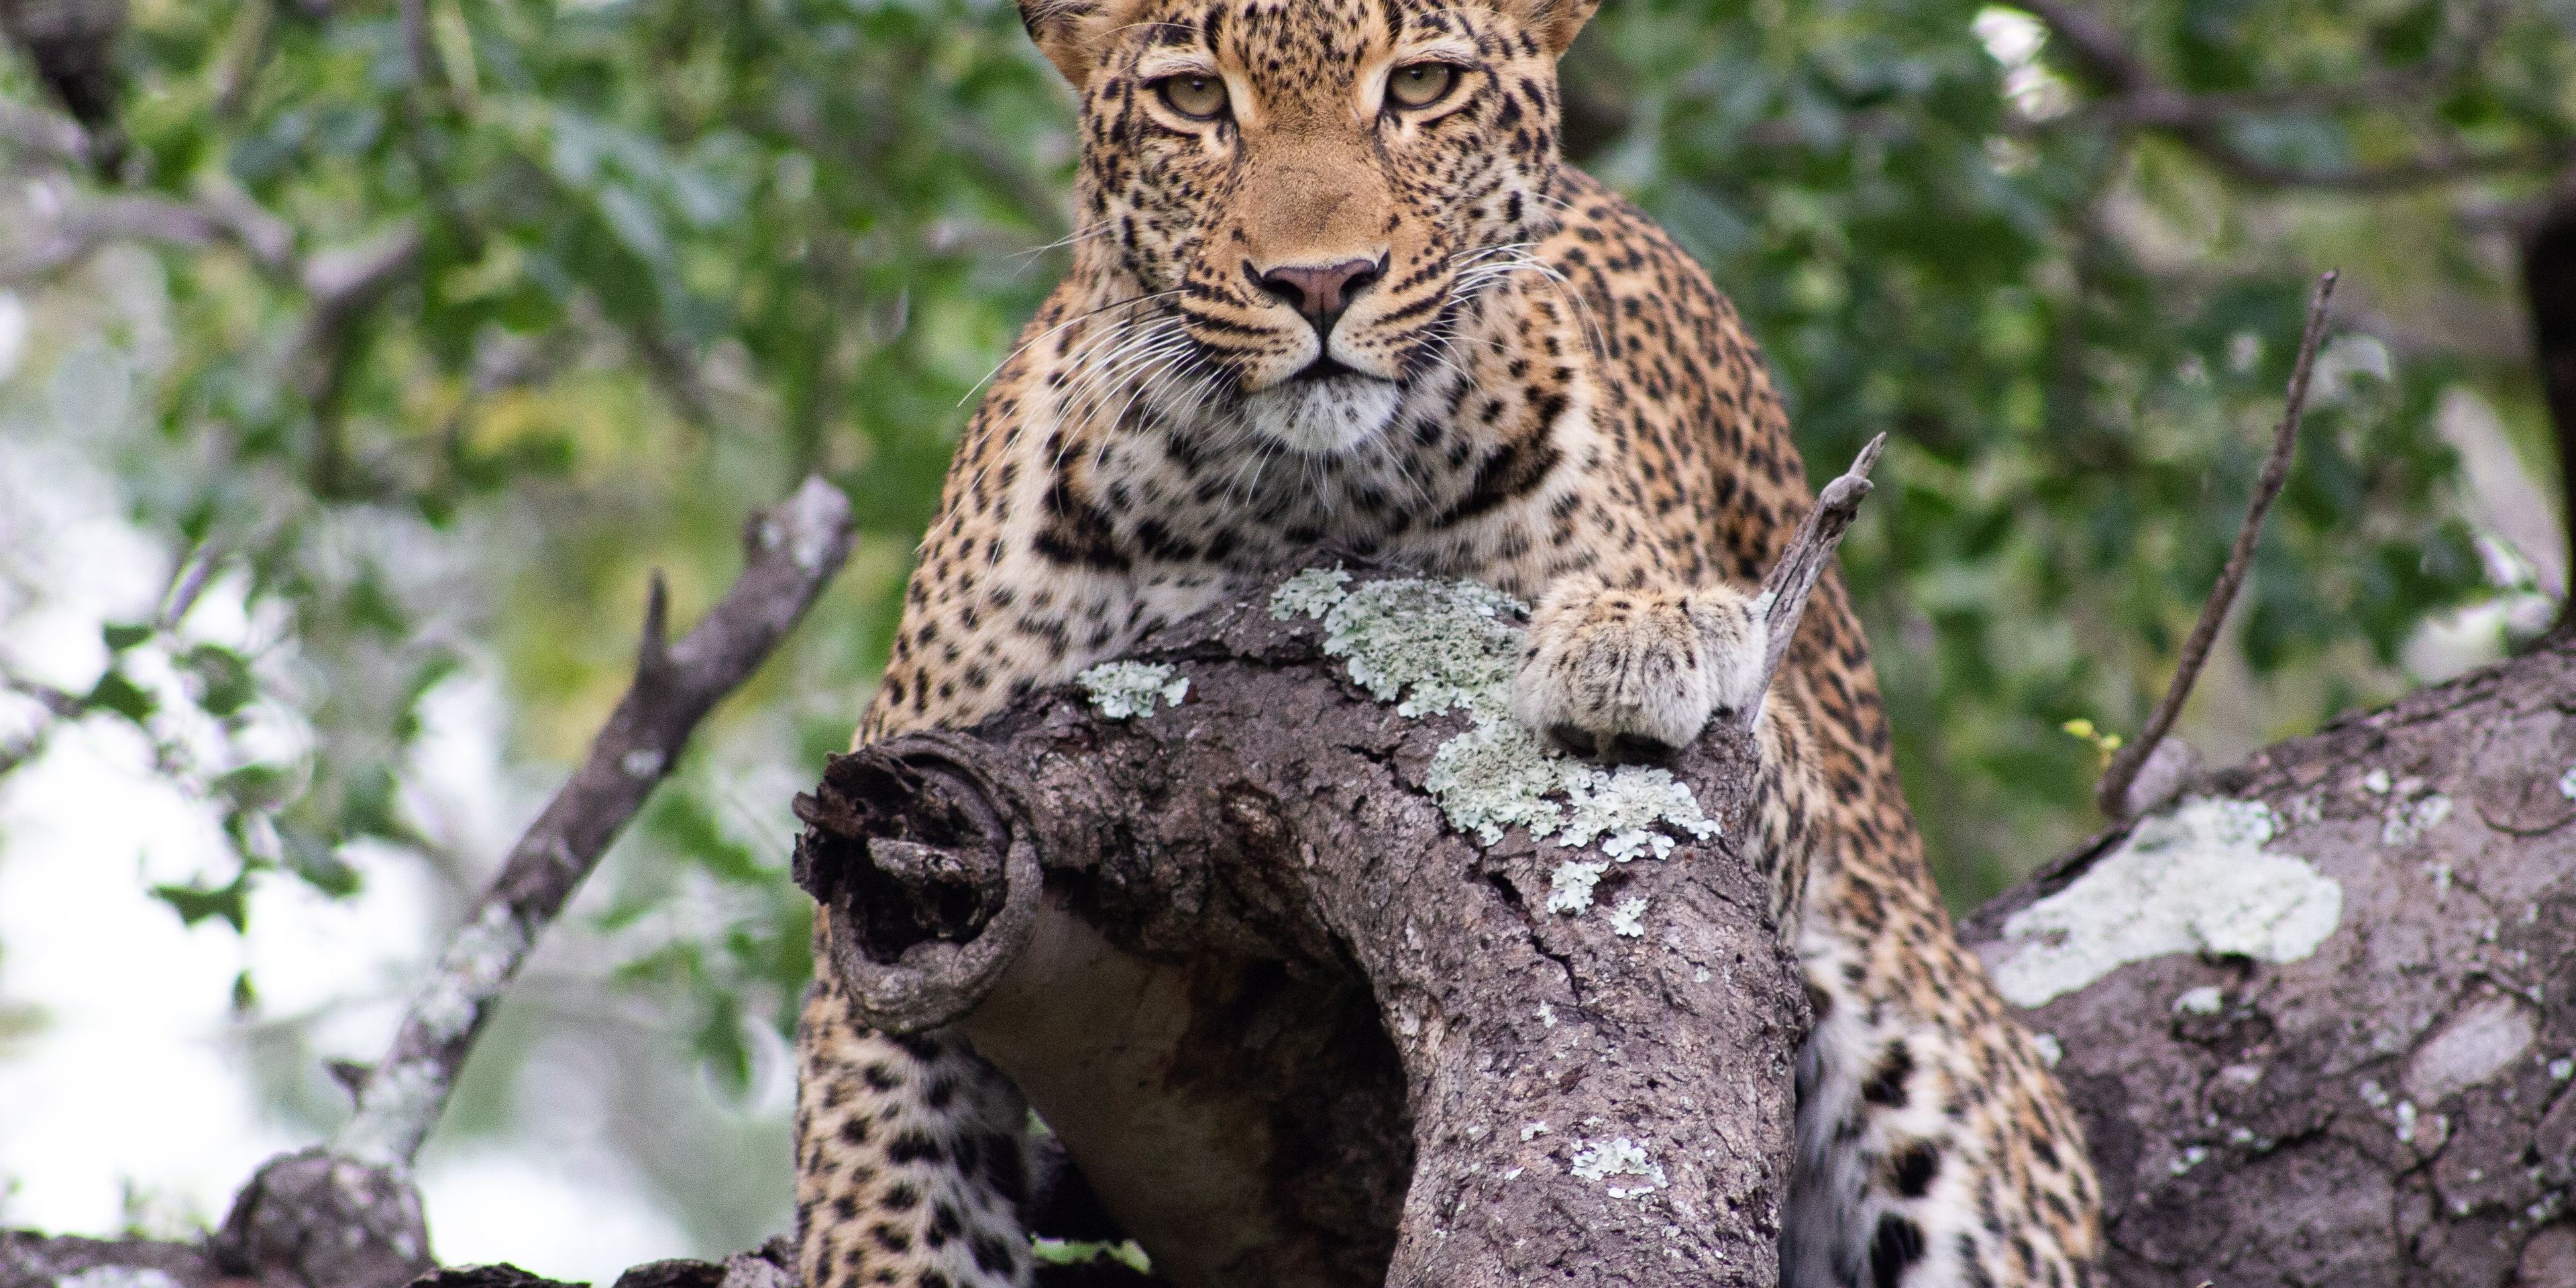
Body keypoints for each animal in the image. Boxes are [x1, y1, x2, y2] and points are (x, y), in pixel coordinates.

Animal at [792, 2, 2102, 1286]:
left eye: (1420, 87)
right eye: (1194, 98)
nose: (1320, 283)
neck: (1284, 503)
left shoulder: (1782, 779)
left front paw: (1637, 631)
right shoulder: (894, 831)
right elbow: (883, 1181)